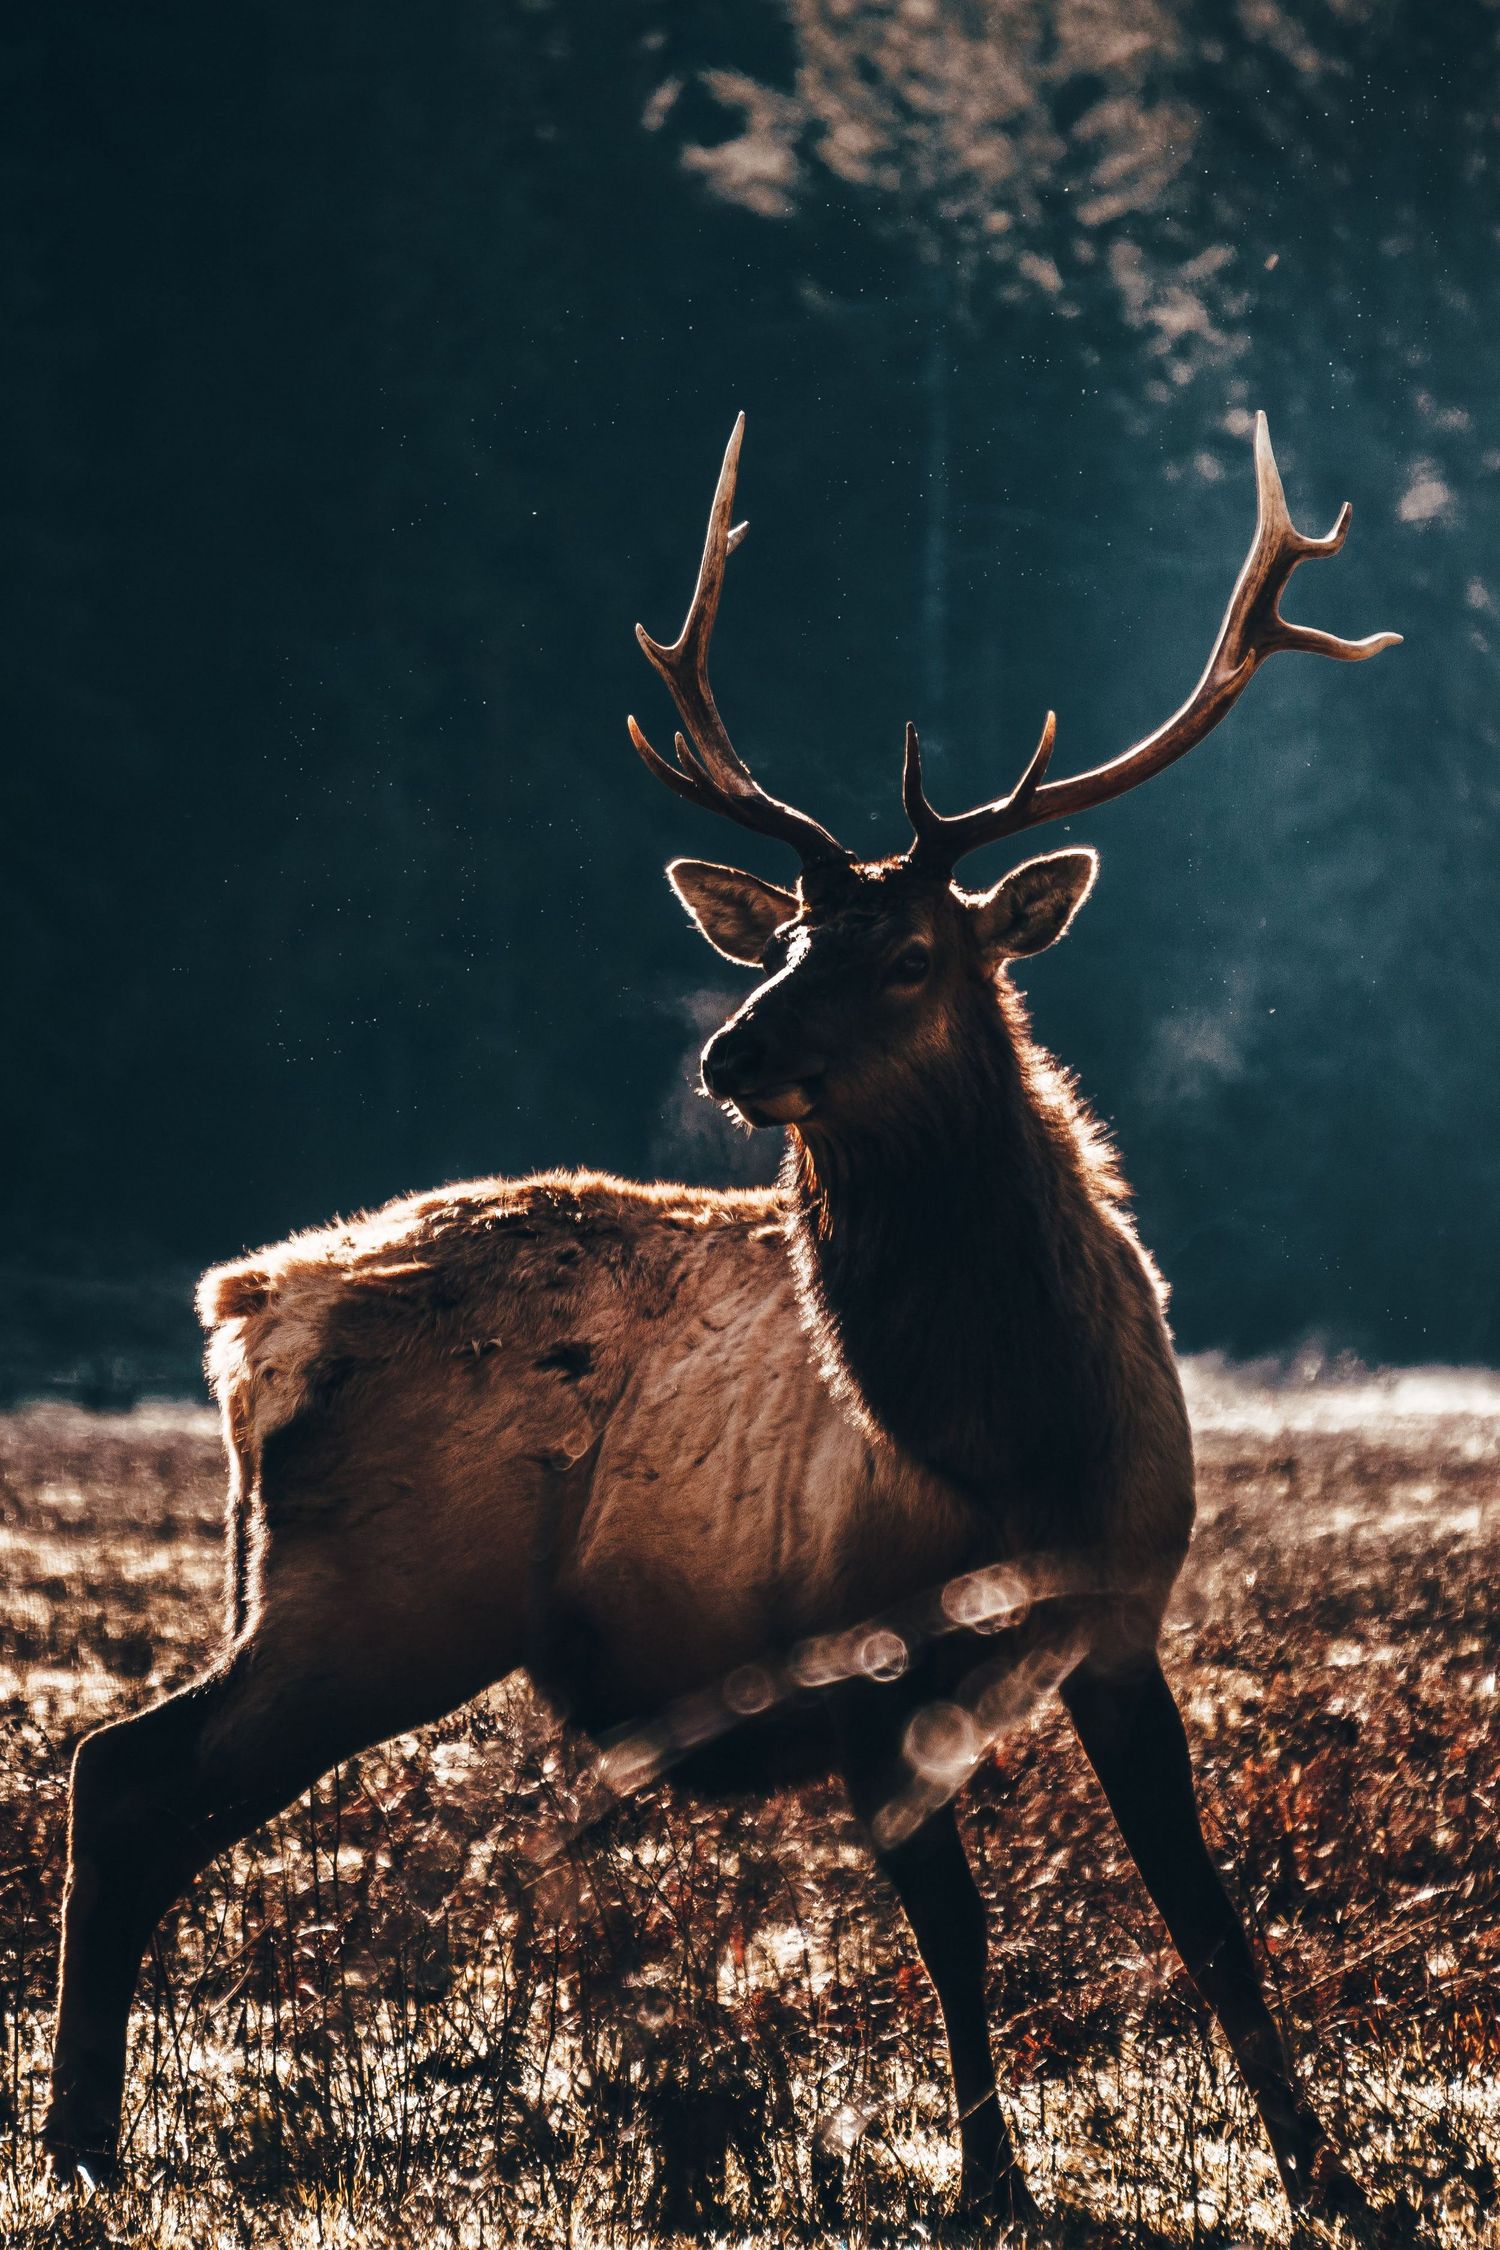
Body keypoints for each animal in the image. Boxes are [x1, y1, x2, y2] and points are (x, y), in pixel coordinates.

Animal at [46, 413, 1398, 2230]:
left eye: (910, 952)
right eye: (794, 933)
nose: (732, 1049)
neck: (1017, 1434)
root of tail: (245, 1308)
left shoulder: (1124, 1615)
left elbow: (1207, 1909)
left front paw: (1324, 2173)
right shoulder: (860, 1653)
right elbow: (959, 1933)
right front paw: (990, 2183)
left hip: (336, 1599)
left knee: (143, 1787)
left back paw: (88, 2136)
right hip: (377, 1597)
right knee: (124, 1774)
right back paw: (77, 2138)